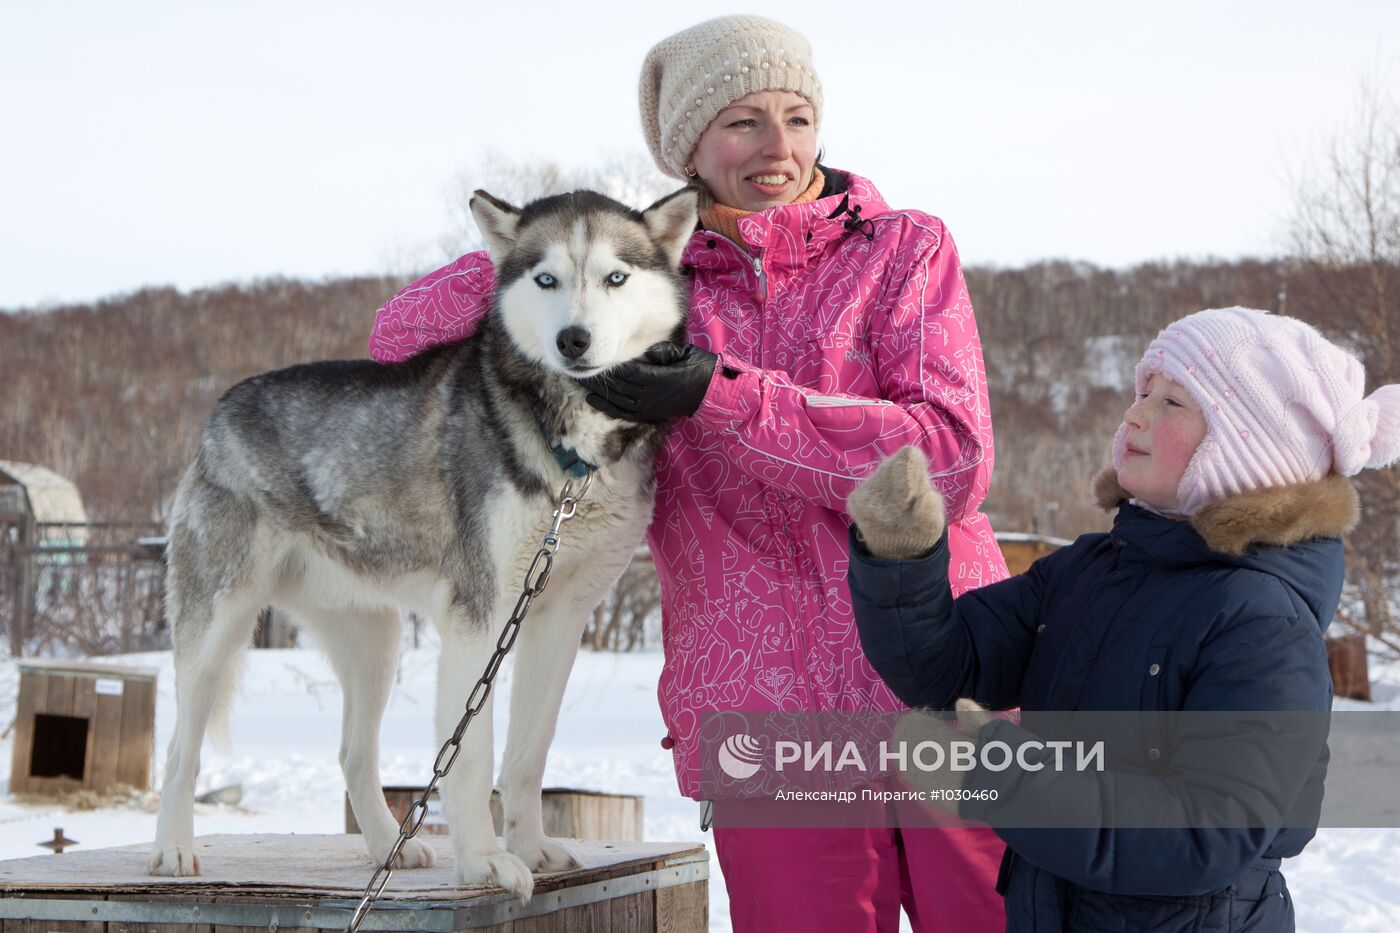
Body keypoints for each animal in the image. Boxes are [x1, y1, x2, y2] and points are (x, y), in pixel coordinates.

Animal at [149, 184, 700, 896]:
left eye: (616, 277)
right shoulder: (479, 618)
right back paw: (172, 849)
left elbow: (528, 753)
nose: (573, 339)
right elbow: (472, 756)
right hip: (216, 627)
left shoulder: (559, 618)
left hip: (374, 641)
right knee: (179, 748)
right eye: (546, 278)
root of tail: (219, 411)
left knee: (354, 754)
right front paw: (485, 861)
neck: (573, 456)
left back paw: (389, 847)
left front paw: (532, 847)